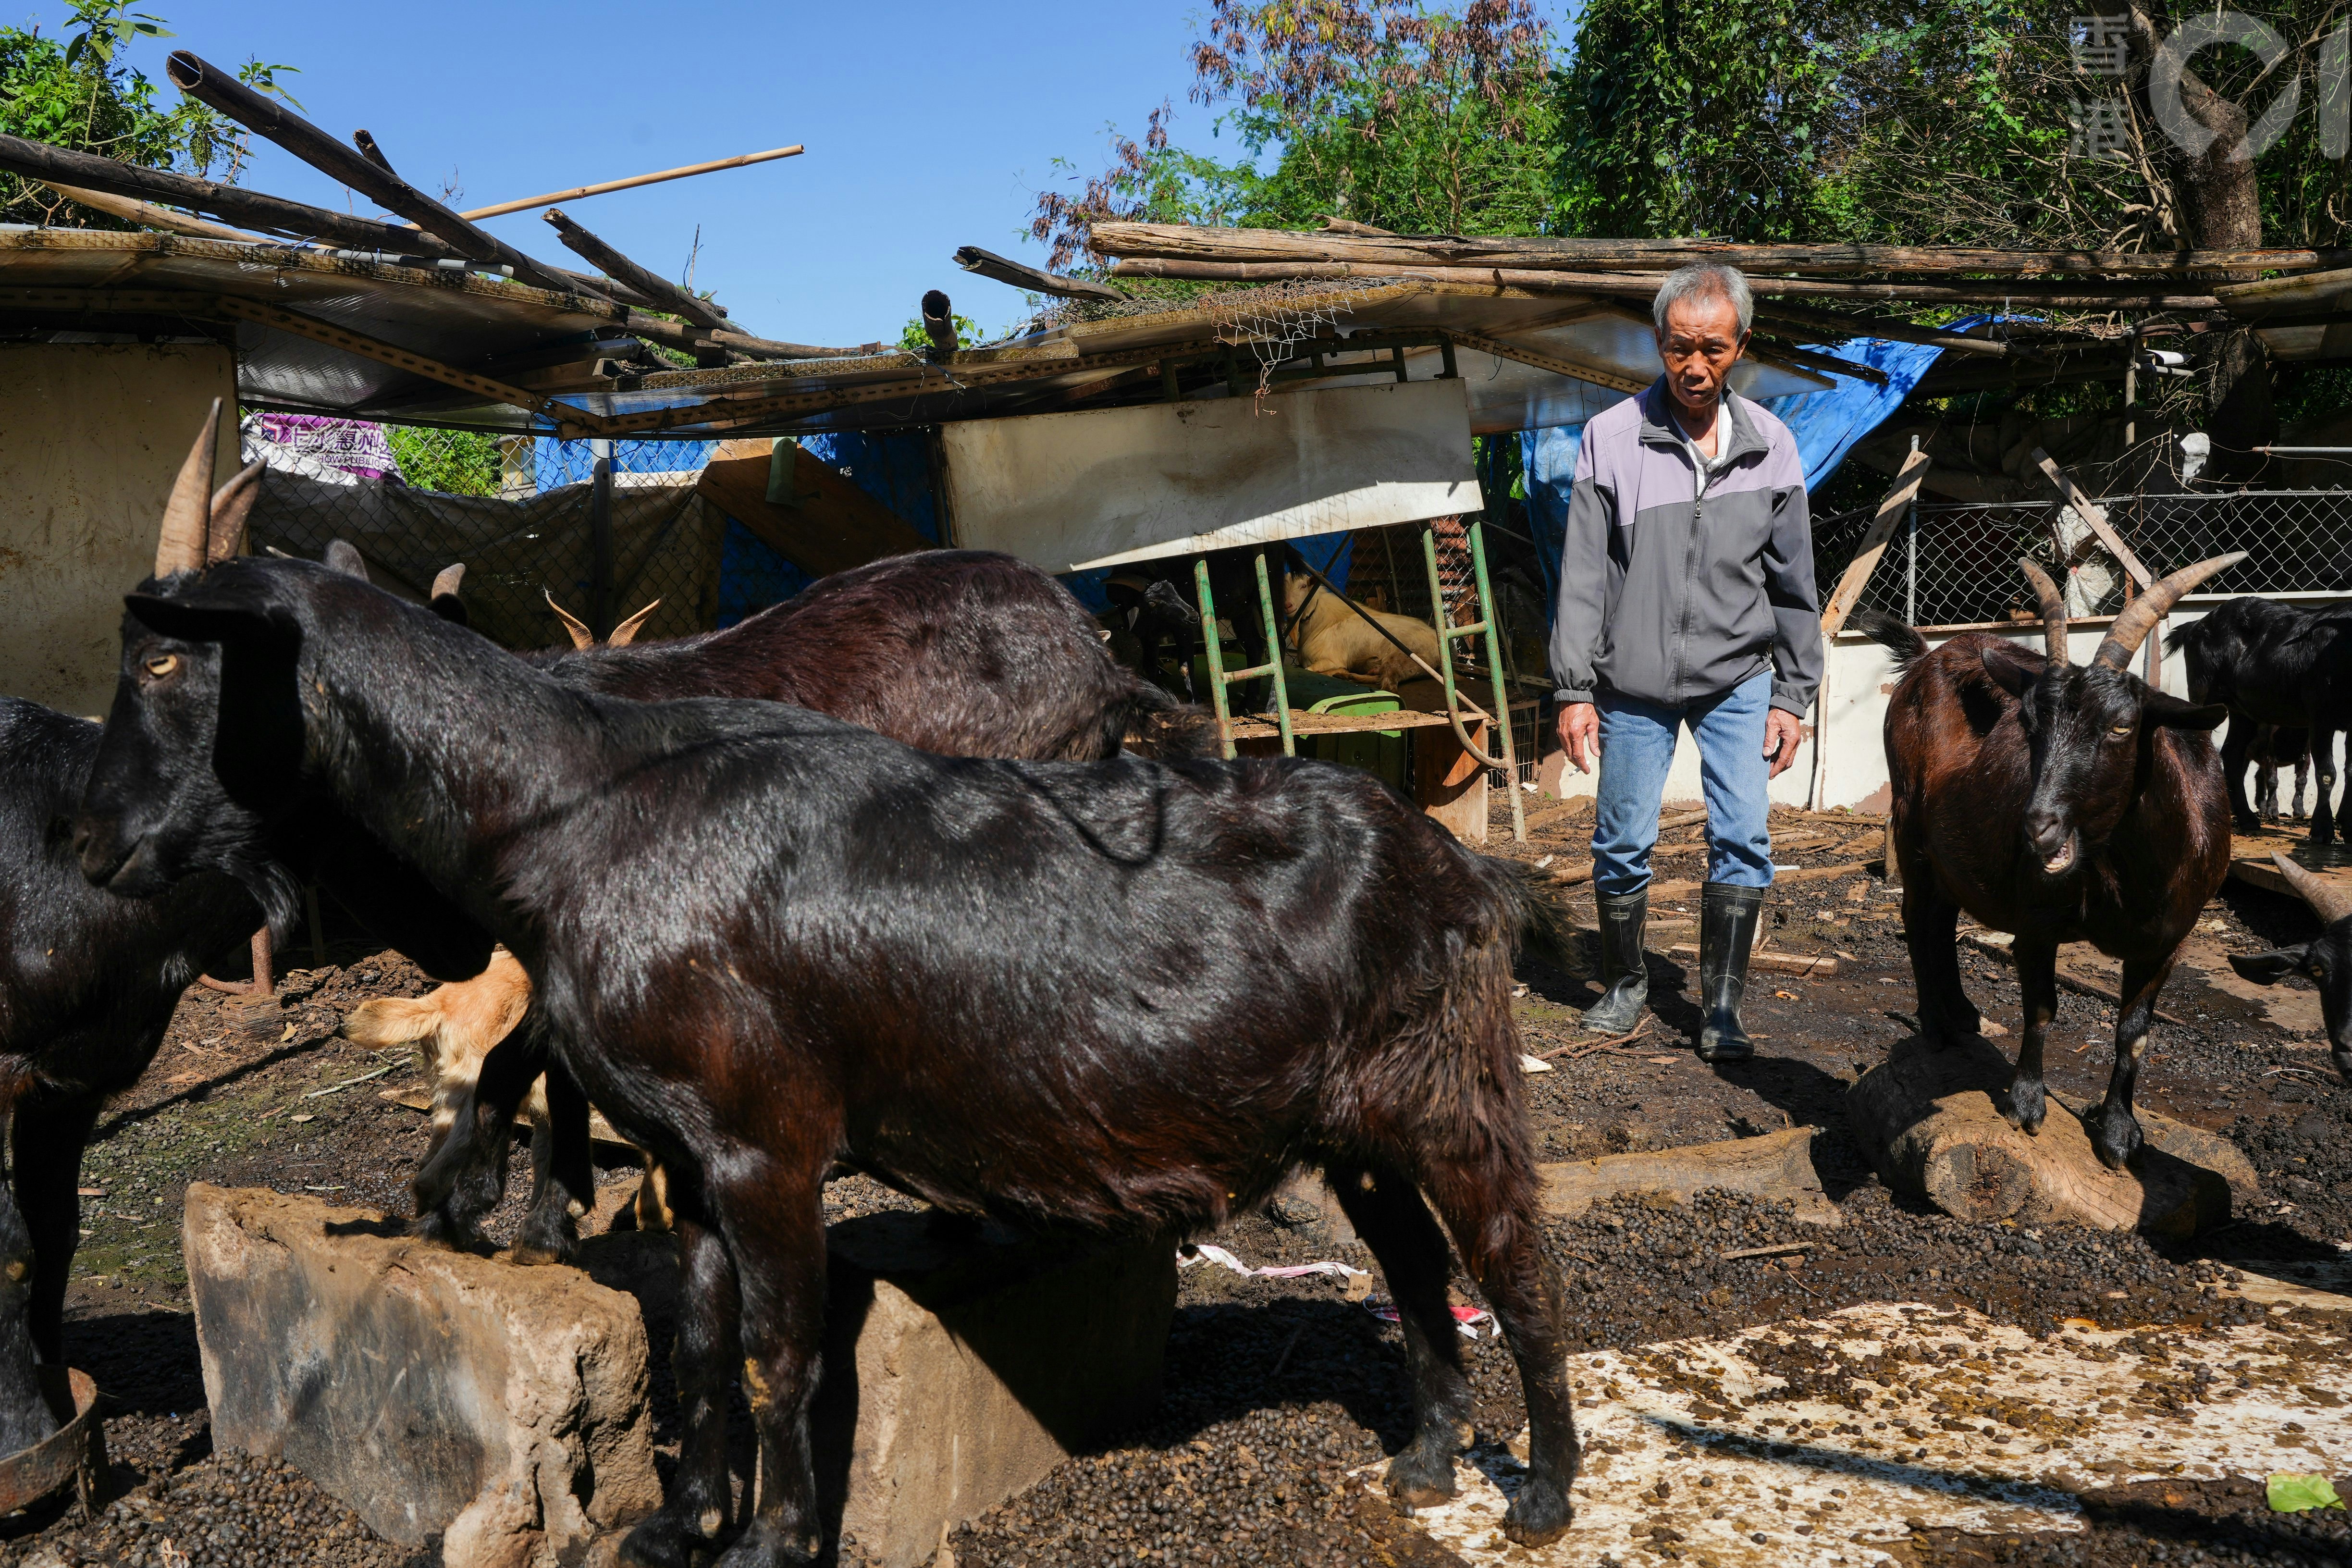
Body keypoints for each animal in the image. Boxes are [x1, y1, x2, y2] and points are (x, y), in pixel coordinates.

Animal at [1279, 564, 1439, 686]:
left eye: (1303, 586)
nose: (1287, 605)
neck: (1319, 622)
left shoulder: (1330, 660)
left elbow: (1310, 670)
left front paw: (1338, 671)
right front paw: (1341, 673)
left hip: (1403, 659)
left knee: (1388, 684)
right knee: (1379, 677)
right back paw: (1350, 676)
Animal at [1853, 552, 2239, 1166]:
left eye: (2121, 725)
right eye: (2028, 724)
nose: (2036, 828)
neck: (2124, 879)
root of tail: (1924, 654)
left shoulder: (2166, 941)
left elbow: (2133, 1031)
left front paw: (2117, 1131)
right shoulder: (2035, 922)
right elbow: (2039, 1007)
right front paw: (2026, 1103)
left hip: (1948, 847)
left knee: (1941, 916)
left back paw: (1962, 1013)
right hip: (1909, 822)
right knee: (1917, 918)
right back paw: (1935, 1025)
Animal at [2164, 597, 2352, 846]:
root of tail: (2196, 625)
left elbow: (2351, 771)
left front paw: (2349, 829)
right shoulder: (2321, 716)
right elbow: (2327, 773)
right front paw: (2322, 830)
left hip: (2242, 712)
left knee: (2233, 755)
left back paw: (2247, 818)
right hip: (2204, 691)